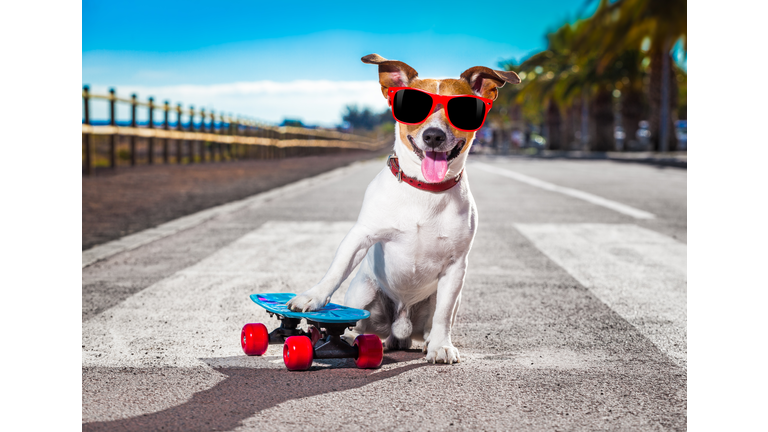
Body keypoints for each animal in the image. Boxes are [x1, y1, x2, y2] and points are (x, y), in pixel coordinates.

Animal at [288, 54, 520, 364]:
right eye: (413, 107)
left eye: (460, 109)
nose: (433, 136)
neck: (424, 189)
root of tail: (400, 328)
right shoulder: (360, 236)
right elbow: (336, 270)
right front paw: (312, 297)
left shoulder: (456, 266)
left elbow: (443, 315)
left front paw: (441, 346)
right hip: (364, 293)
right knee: (359, 325)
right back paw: (356, 338)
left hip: (440, 299)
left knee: (434, 320)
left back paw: (427, 341)